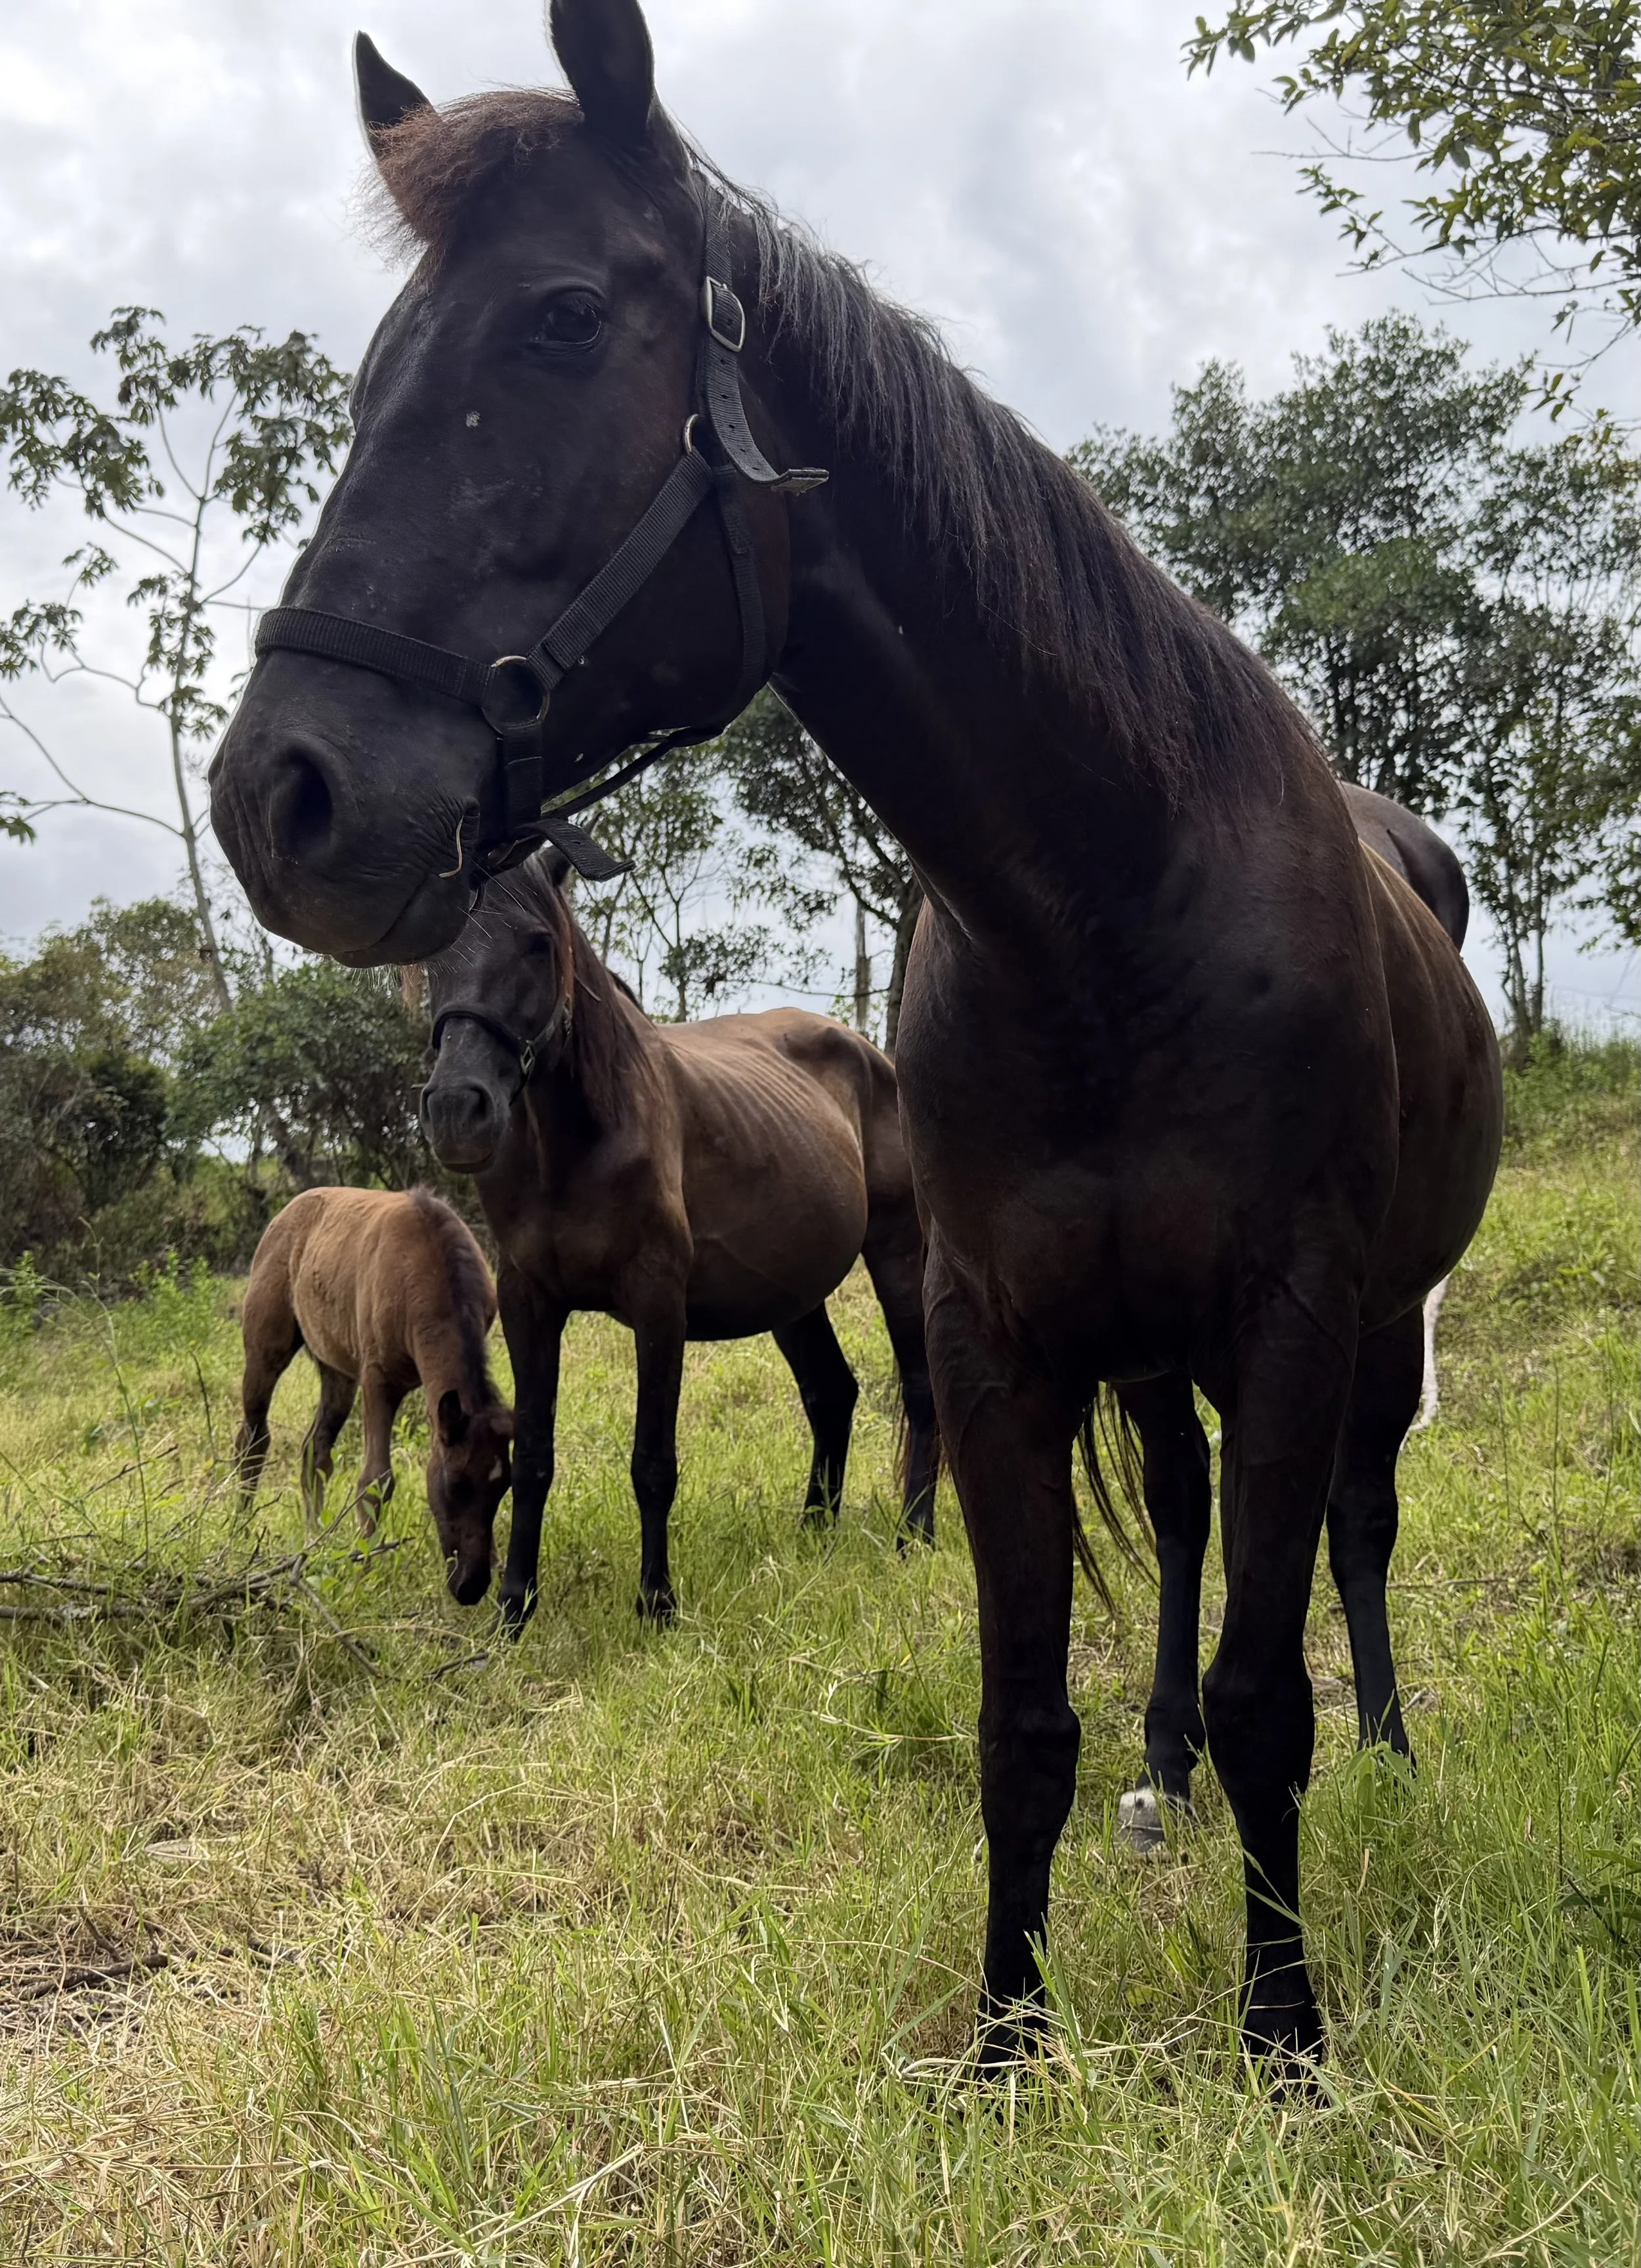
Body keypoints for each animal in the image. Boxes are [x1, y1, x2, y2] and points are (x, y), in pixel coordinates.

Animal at [235, 1186, 514, 1604]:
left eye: (503, 1487)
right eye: (454, 1483)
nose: (470, 1586)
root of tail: (285, 1214)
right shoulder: (378, 1379)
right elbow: (375, 1480)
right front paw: (363, 1570)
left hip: (336, 1369)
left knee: (315, 1451)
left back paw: (314, 1540)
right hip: (266, 1349)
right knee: (252, 1438)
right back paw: (239, 1528)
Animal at [415, 850, 938, 1631]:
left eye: (539, 944)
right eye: (432, 956)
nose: (456, 1111)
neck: (574, 1146)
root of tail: (873, 1055)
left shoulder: (658, 1301)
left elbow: (652, 1463)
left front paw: (657, 1604)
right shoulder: (528, 1301)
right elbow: (534, 1455)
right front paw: (514, 1606)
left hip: (897, 1253)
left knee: (920, 1388)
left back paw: (915, 1534)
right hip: (792, 1294)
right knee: (831, 1393)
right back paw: (815, 1531)